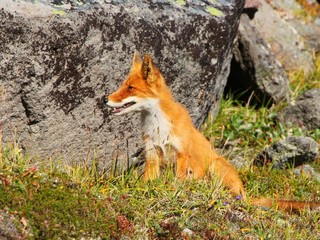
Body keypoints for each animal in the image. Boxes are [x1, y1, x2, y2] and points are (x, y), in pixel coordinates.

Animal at [105, 51, 318, 211]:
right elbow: (148, 180)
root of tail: (245, 194)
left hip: (216, 166)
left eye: (130, 88)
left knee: (229, 193)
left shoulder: (182, 154)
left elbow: (178, 180)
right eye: (123, 85)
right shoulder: (152, 154)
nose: (105, 99)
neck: (158, 128)